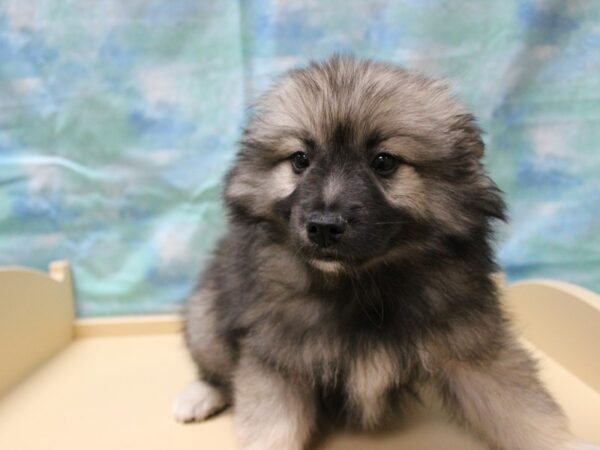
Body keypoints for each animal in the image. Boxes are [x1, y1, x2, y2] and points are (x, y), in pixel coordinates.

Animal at [173, 56, 576, 450]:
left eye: (384, 162)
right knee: (216, 366)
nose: (323, 226)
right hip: (206, 316)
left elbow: (522, 410)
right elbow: (271, 427)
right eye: (300, 160)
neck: (361, 284)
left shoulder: (470, 344)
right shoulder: (277, 358)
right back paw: (199, 395)